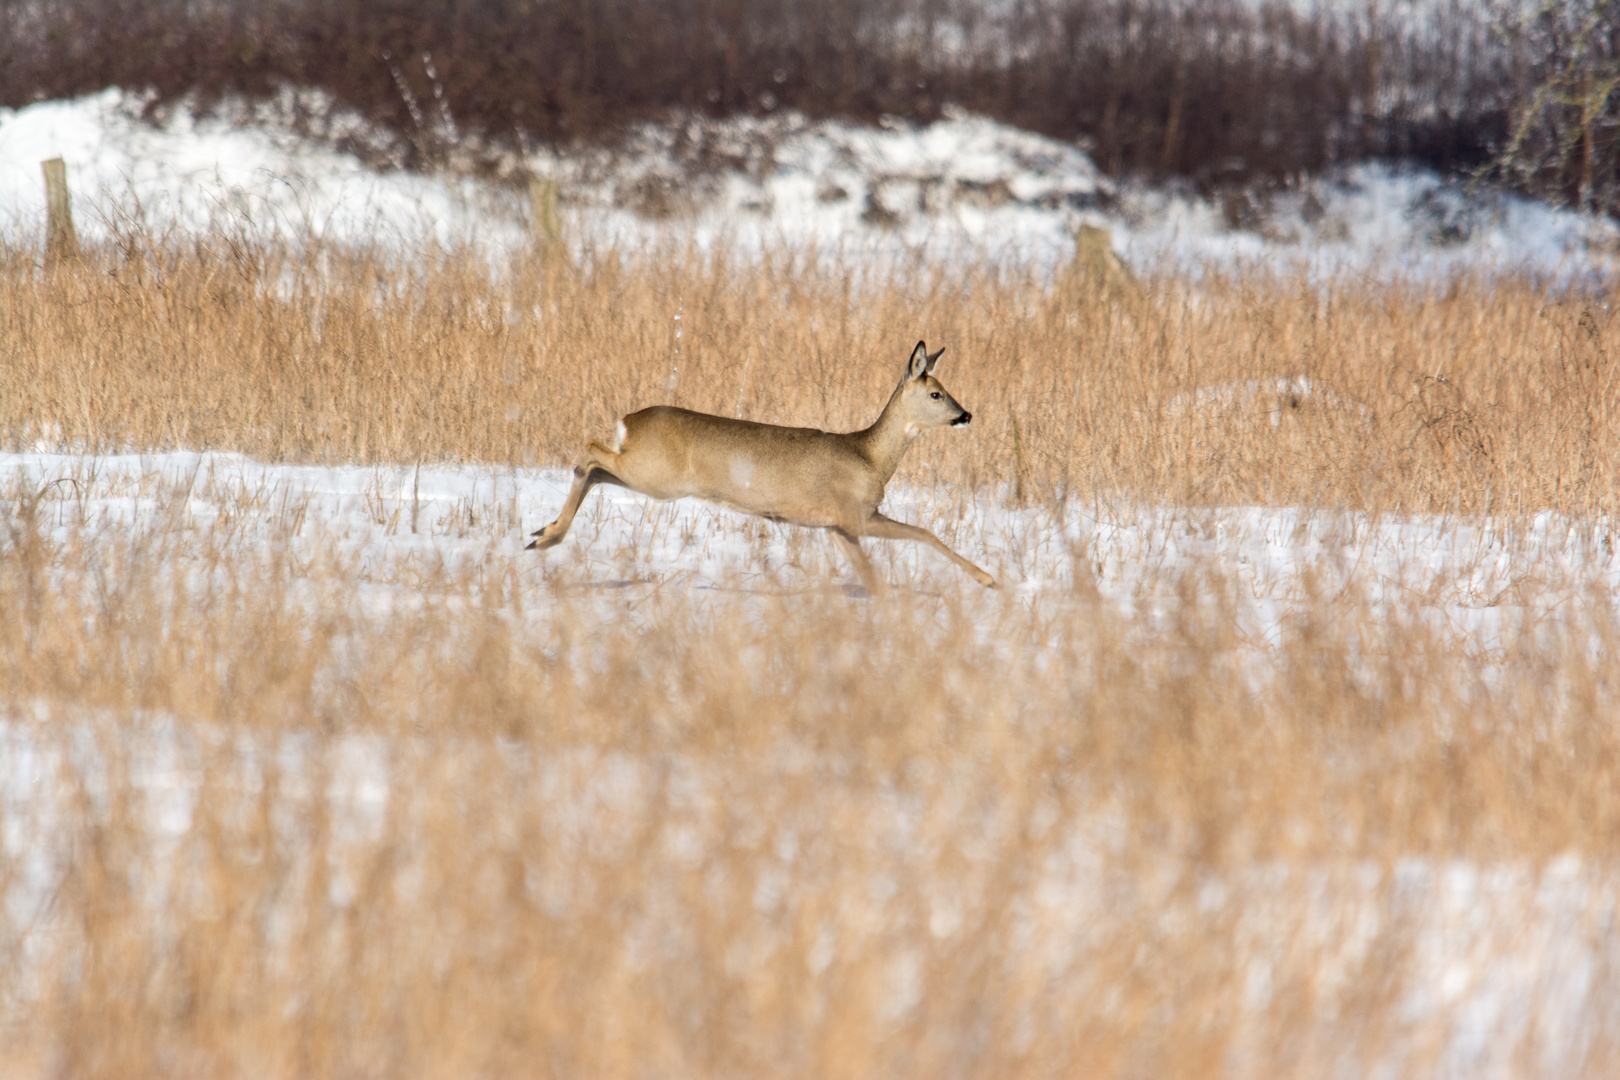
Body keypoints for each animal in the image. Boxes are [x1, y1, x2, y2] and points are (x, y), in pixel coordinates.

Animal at [528, 340, 997, 586]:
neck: (870, 456)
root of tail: (627, 421)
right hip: (657, 475)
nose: (966, 415)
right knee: (590, 450)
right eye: (936, 393)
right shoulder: (856, 515)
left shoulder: (837, 527)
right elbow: (925, 533)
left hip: (649, 474)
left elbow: (870, 575)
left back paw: (542, 535)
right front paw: (988, 579)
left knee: (595, 469)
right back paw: (546, 534)